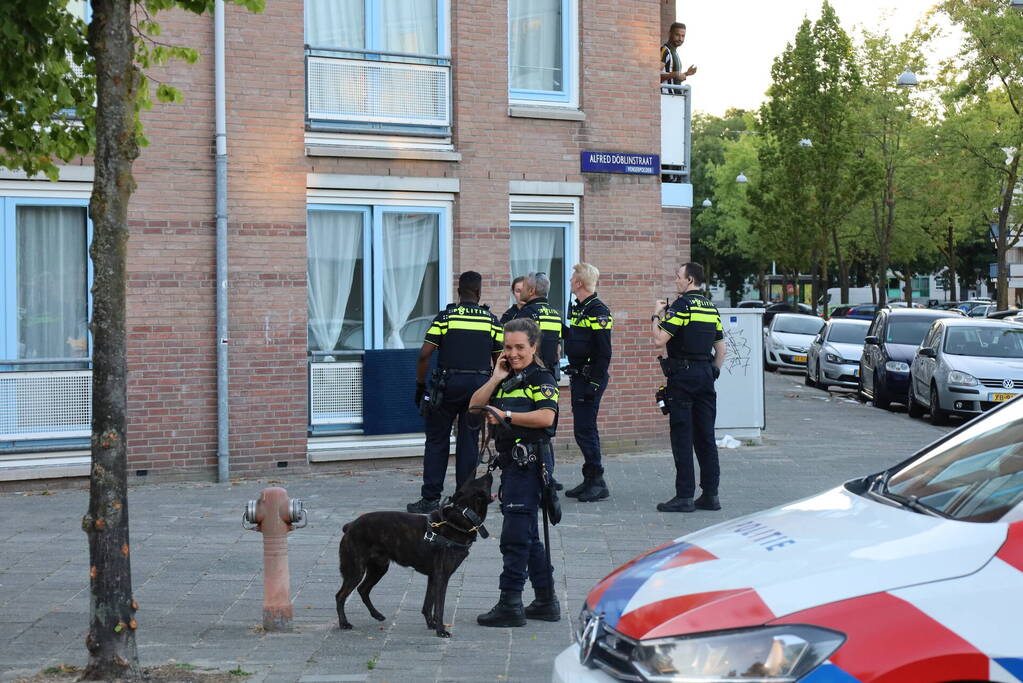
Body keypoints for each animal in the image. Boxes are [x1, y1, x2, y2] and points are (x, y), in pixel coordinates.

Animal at [337, 472, 493, 638]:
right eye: (481, 482)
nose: (490, 472)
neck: (461, 517)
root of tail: (350, 525)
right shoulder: (442, 577)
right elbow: (439, 607)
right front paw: (441, 630)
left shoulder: (433, 577)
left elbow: (428, 604)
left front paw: (431, 624)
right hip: (356, 571)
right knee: (340, 595)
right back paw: (344, 623)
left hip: (378, 568)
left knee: (363, 589)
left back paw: (376, 614)